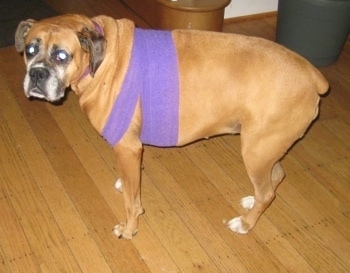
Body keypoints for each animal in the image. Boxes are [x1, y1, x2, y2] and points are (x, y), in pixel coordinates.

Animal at [15, 13, 330, 238]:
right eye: (29, 50)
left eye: (61, 56)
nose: (37, 74)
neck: (102, 60)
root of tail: (312, 75)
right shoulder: (133, 151)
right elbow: (131, 183)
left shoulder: (127, 148)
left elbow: (132, 201)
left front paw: (129, 228)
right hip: (265, 149)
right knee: (276, 178)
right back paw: (252, 203)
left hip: (255, 151)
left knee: (268, 191)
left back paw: (245, 224)